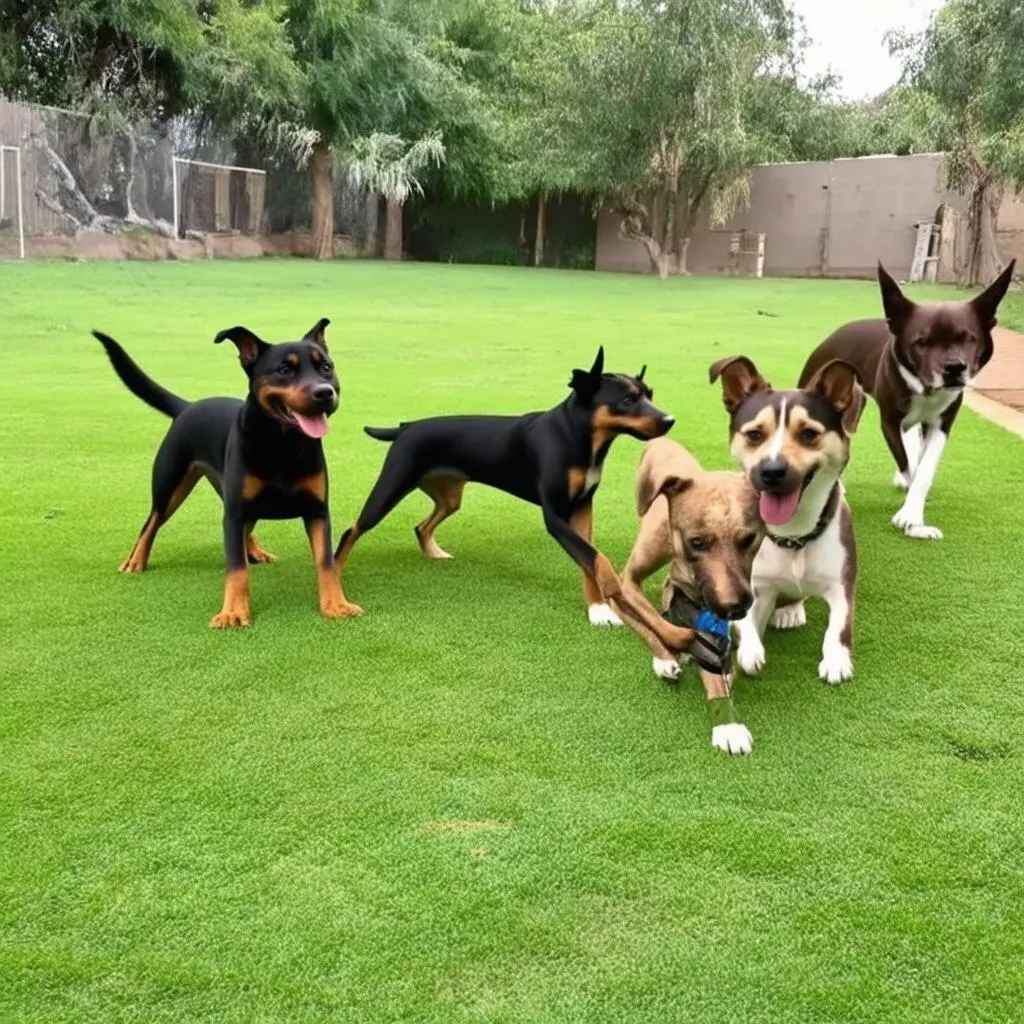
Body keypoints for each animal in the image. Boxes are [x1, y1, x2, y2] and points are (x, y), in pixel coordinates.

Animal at [95, 317, 356, 622]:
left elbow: (326, 562)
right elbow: (236, 568)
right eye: (284, 370)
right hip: (169, 485)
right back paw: (136, 560)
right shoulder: (234, 513)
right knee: (151, 523)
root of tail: (188, 407)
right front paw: (233, 612)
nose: (324, 393)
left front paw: (335, 604)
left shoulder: (317, 511)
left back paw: (255, 552)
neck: (282, 445)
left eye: (326, 367)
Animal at [712, 356, 864, 684]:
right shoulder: (756, 587)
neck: (794, 536)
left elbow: (839, 625)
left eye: (809, 434)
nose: (772, 471)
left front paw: (836, 660)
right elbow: (747, 622)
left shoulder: (841, 583)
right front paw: (749, 650)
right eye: (754, 434)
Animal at [798, 260, 1007, 540]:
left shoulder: (942, 424)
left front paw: (913, 514)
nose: (954, 368)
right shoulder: (890, 422)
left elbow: (924, 469)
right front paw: (911, 514)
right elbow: (908, 463)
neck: (925, 388)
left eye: (969, 338)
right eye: (922, 342)